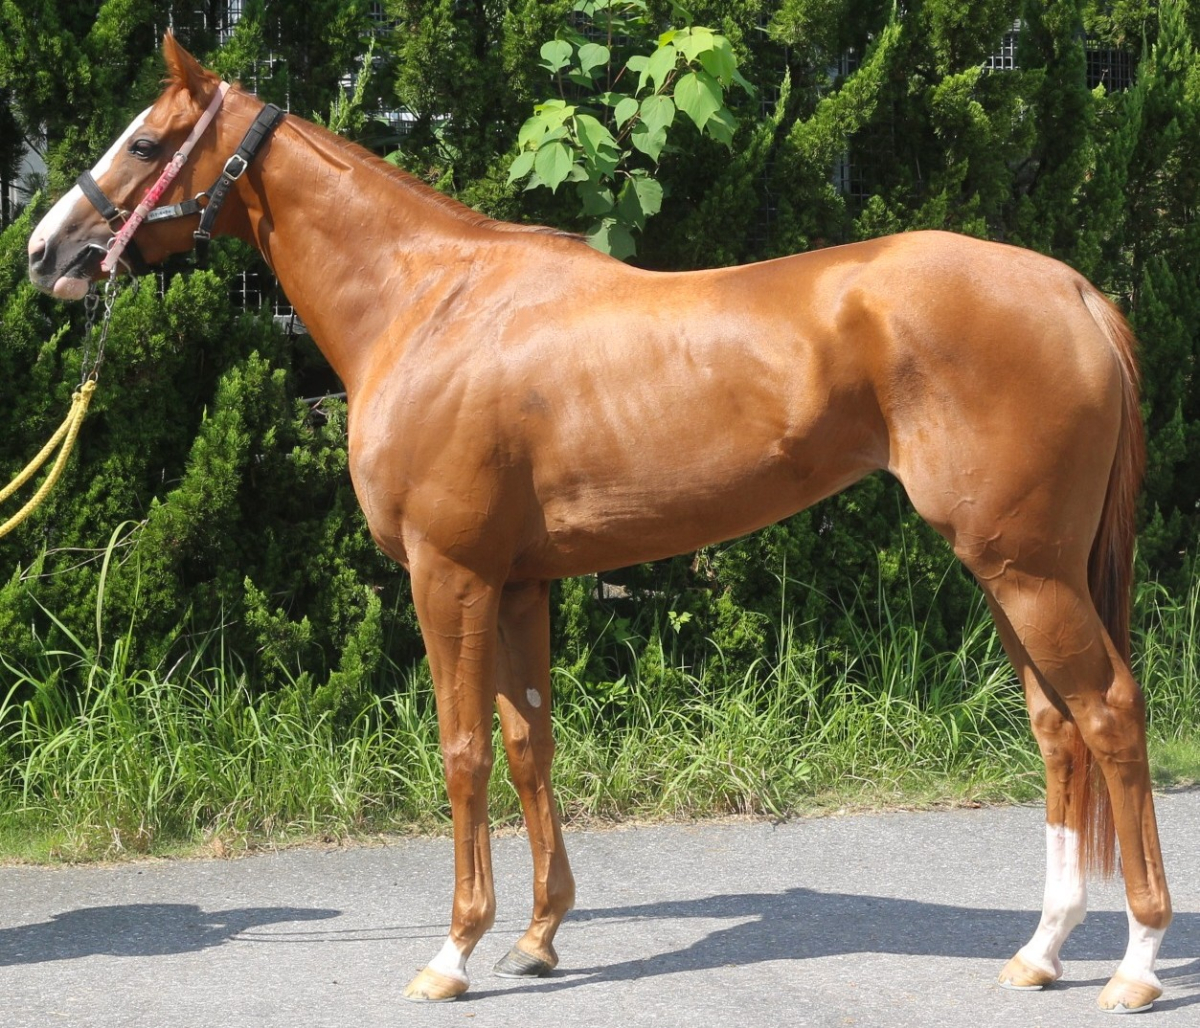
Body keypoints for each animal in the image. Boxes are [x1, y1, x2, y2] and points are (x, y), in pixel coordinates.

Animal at [27, 35, 1171, 1012]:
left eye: (144, 143)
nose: (46, 251)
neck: (430, 304)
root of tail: (1073, 291)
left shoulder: (450, 575)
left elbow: (462, 751)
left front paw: (455, 951)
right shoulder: (520, 581)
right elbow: (530, 741)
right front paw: (537, 937)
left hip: (1028, 570)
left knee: (1111, 712)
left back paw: (1137, 962)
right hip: (1007, 567)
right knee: (1057, 725)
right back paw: (1041, 949)